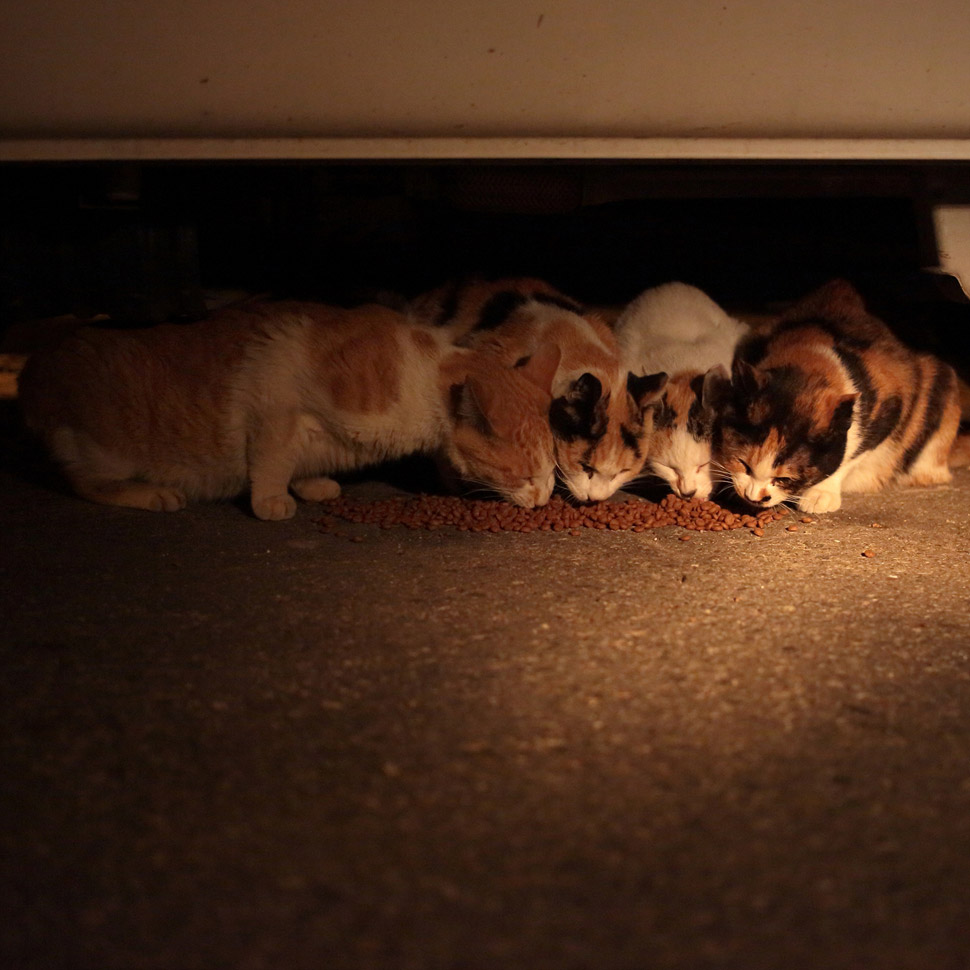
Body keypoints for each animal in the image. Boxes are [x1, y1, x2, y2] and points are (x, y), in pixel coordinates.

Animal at [17, 300, 560, 520]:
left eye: (551, 474)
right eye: (523, 475)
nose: (542, 500)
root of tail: (35, 363)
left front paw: (311, 483)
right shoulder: (274, 402)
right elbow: (272, 459)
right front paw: (272, 500)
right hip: (99, 447)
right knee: (83, 483)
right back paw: (151, 493)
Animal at [716, 280, 956, 516]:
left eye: (784, 478)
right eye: (743, 464)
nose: (753, 497)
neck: (812, 354)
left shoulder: (890, 408)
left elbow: (852, 455)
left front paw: (821, 494)